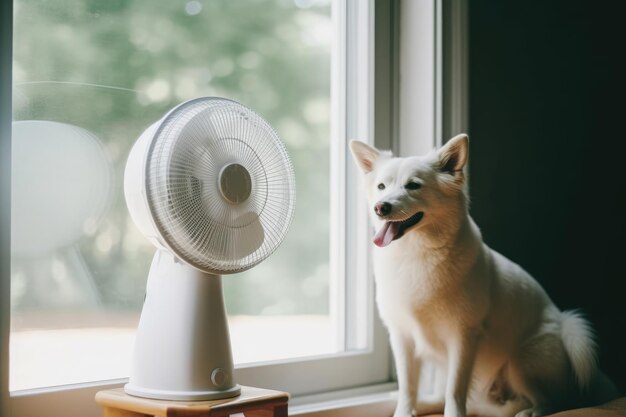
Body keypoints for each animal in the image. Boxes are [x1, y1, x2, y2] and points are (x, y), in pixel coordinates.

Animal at [348, 134, 616, 416]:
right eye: (381, 186)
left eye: (413, 186)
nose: (381, 207)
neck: (416, 254)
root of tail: (564, 326)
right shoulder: (403, 337)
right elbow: (408, 388)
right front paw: (404, 411)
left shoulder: (464, 337)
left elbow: (455, 390)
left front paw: (454, 414)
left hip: (520, 363)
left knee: (555, 401)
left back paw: (531, 410)